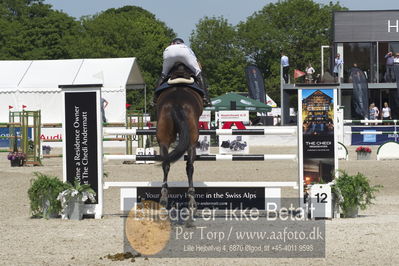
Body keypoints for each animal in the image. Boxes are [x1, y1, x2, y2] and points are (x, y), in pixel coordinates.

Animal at [155, 64, 205, 210]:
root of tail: (176, 103)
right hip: (192, 140)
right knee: (190, 166)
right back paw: (192, 199)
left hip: (163, 139)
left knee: (166, 164)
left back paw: (164, 198)